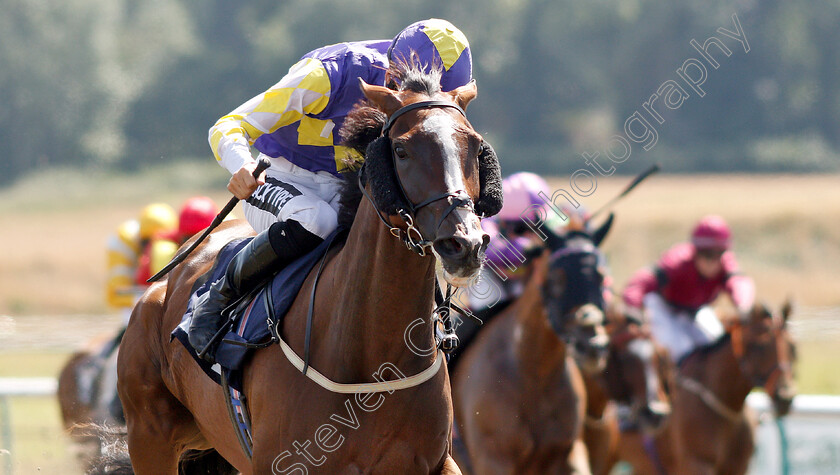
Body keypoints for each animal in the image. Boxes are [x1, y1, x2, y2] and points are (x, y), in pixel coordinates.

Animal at [450, 228, 612, 475]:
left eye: (601, 277)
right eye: (557, 276)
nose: (592, 343)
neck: (534, 374)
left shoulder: (569, 452)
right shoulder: (493, 458)